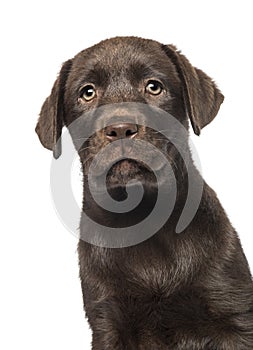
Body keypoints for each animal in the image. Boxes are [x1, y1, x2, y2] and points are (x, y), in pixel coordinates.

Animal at [35, 37, 253, 348]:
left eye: (153, 87)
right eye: (87, 92)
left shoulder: (234, 315)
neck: (144, 217)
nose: (120, 129)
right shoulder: (108, 322)